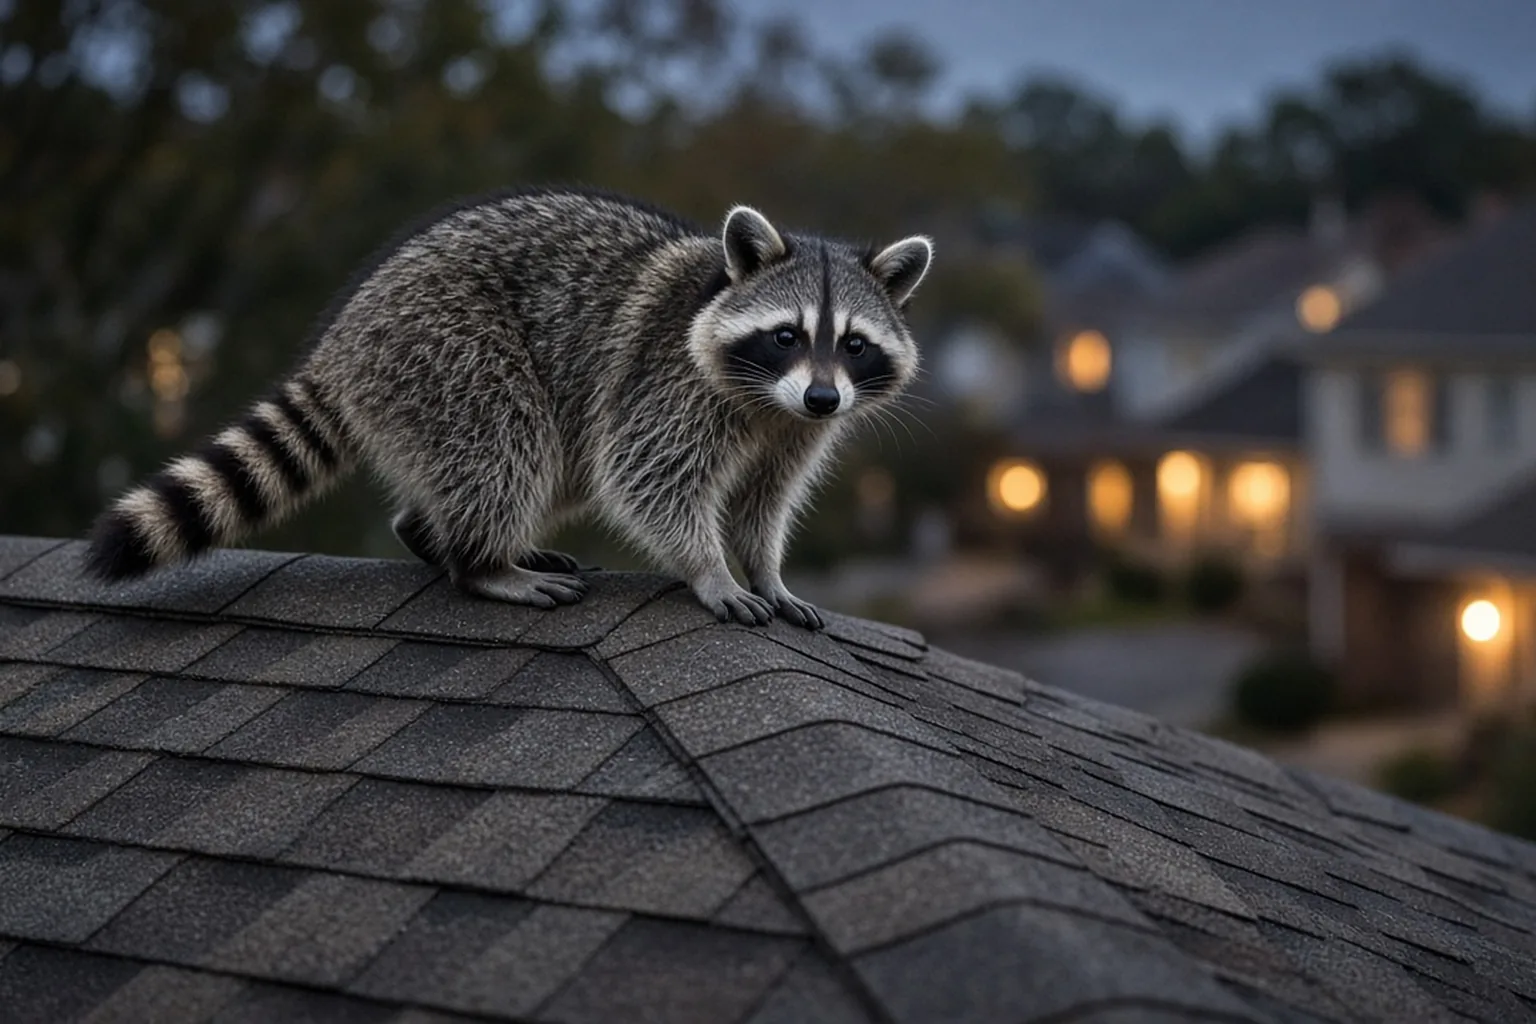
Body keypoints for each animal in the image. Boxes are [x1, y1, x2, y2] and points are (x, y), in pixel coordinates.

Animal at [85, 188, 933, 628]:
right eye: (787, 335)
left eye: (854, 345)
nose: (823, 397)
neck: (769, 399)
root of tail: (343, 338)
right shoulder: (666, 381)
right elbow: (648, 477)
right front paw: (711, 570)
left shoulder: (792, 430)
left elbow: (765, 498)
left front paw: (763, 569)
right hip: (448, 349)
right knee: (506, 443)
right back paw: (482, 563)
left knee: (557, 465)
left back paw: (444, 534)